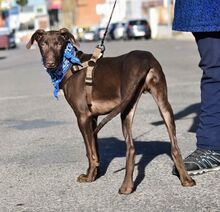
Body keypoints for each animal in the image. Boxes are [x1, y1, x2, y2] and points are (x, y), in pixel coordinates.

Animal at [26, 28, 195, 195]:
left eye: (59, 44)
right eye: (43, 44)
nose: (50, 63)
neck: (70, 64)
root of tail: (145, 59)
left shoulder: (82, 116)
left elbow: (90, 151)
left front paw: (89, 176)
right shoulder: (93, 118)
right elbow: (95, 148)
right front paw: (96, 173)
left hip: (127, 107)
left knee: (131, 148)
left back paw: (126, 187)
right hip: (163, 104)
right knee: (175, 146)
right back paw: (186, 179)